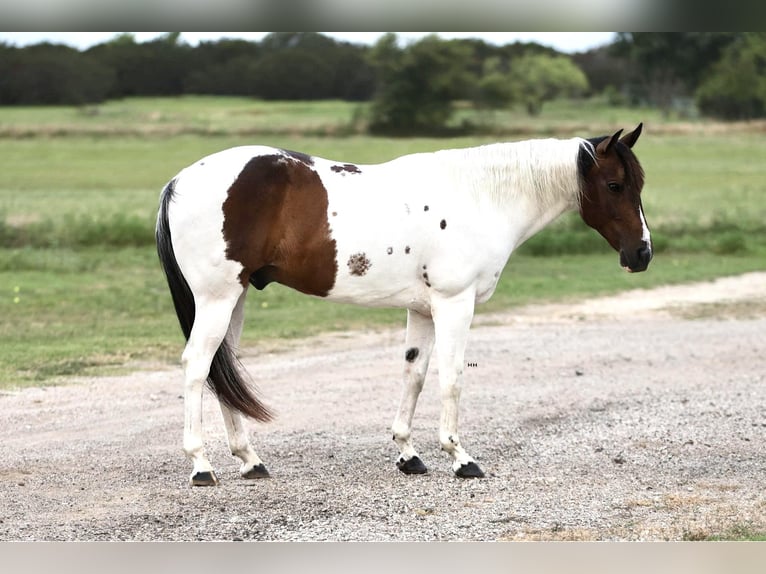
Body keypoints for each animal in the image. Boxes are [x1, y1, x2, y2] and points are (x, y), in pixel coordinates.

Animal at [155, 124, 651, 486]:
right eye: (614, 184)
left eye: (637, 184)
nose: (642, 254)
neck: (479, 197)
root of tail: (178, 180)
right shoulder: (454, 304)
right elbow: (451, 378)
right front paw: (460, 458)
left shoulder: (422, 310)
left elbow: (414, 375)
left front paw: (408, 454)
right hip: (217, 298)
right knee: (198, 366)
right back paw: (201, 466)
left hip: (236, 298)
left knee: (223, 370)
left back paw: (250, 461)